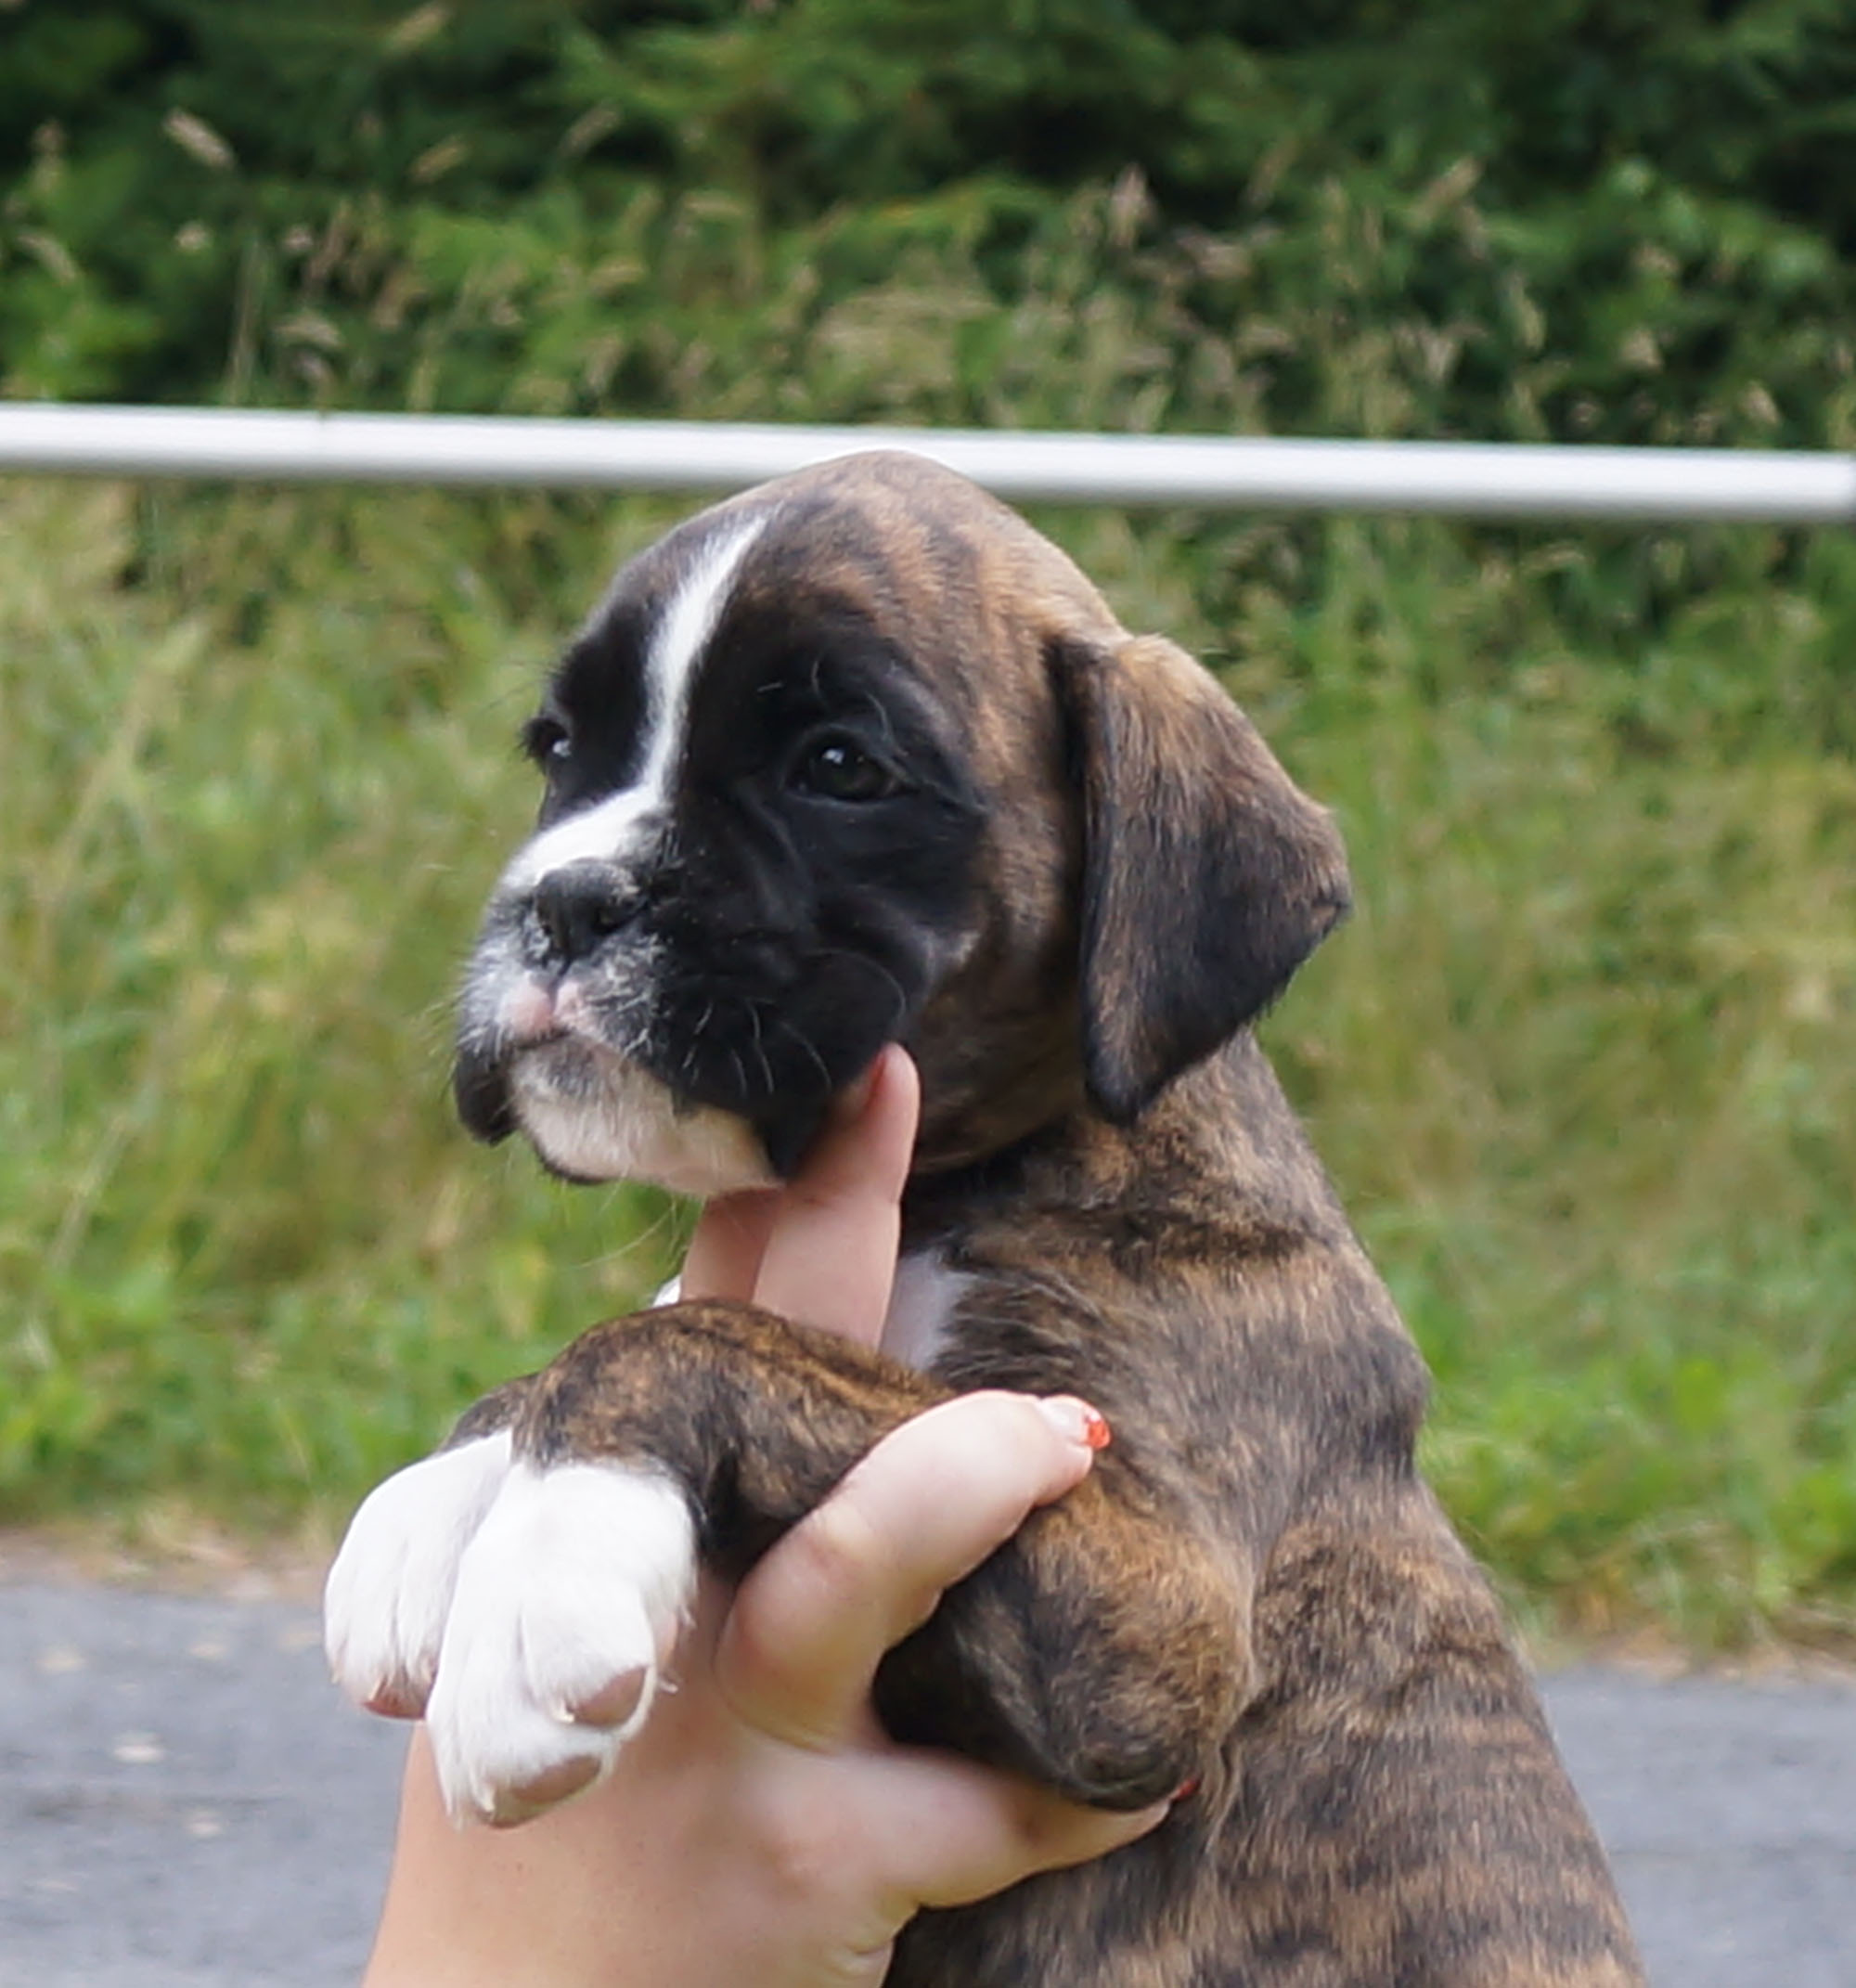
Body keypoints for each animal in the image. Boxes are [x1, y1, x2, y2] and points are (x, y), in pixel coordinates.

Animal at [325, 451, 1644, 1985]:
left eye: (840, 766)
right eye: (555, 751)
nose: (563, 898)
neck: (943, 1192)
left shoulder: (1148, 1608)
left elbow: (719, 1337)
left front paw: (554, 1558)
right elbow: (692, 1321)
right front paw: (442, 1492)